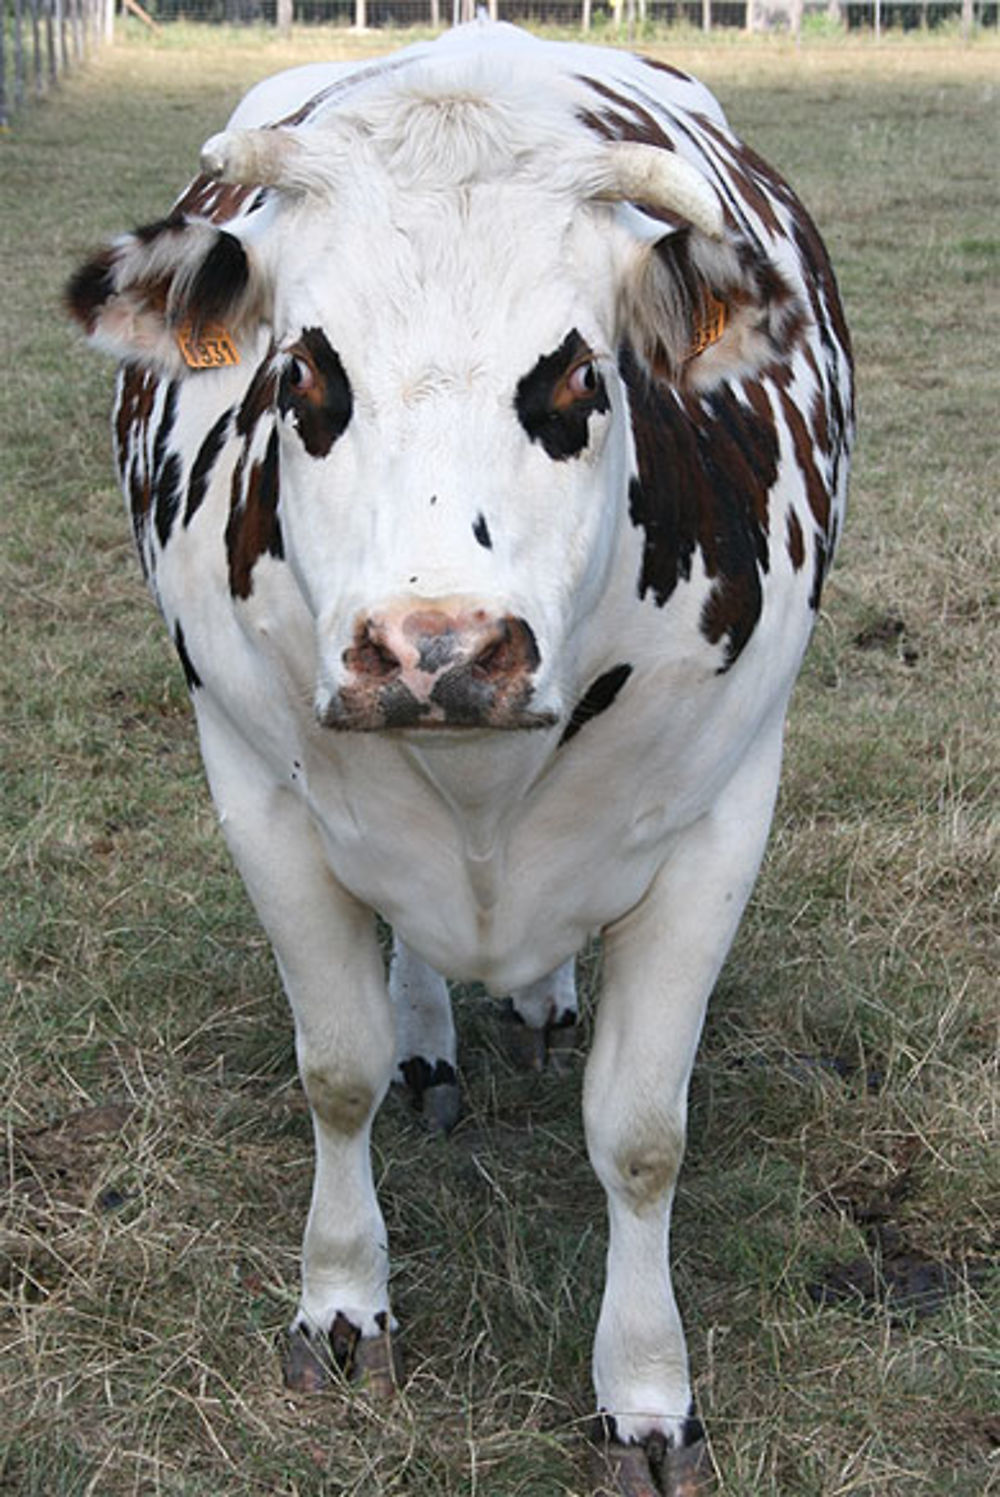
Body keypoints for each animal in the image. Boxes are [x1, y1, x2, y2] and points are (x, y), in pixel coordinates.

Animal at [66, 26, 850, 1497]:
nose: (437, 649)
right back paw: (436, 1044)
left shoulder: (721, 810)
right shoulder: (256, 787)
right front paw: (341, 1301)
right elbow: (337, 1069)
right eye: (304, 376)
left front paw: (646, 1393)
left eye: (578, 378)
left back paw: (538, 1000)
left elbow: (641, 1136)